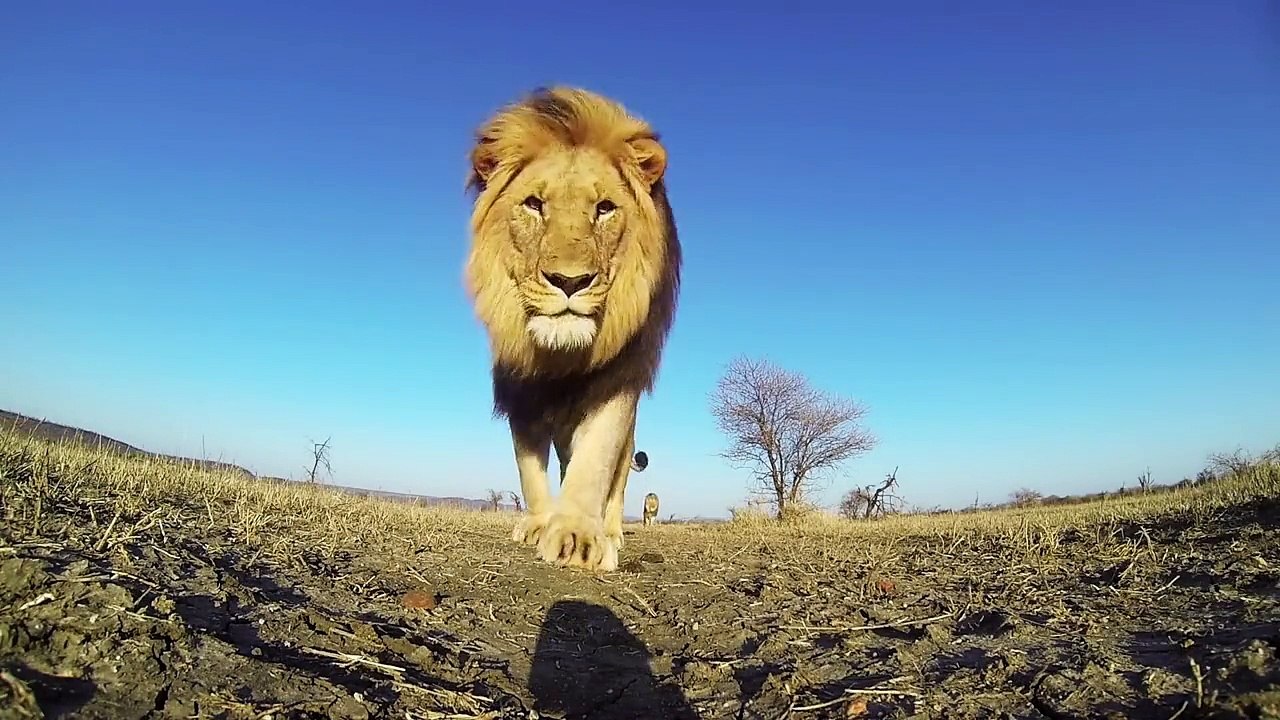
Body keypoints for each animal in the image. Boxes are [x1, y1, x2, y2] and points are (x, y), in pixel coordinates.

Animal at [462, 86, 681, 572]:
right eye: (534, 204)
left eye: (604, 209)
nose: (569, 281)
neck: (560, 358)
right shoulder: (520, 392)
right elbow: (529, 469)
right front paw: (540, 522)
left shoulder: (616, 383)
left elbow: (596, 460)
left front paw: (579, 535)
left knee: (617, 482)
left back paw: (612, 529)